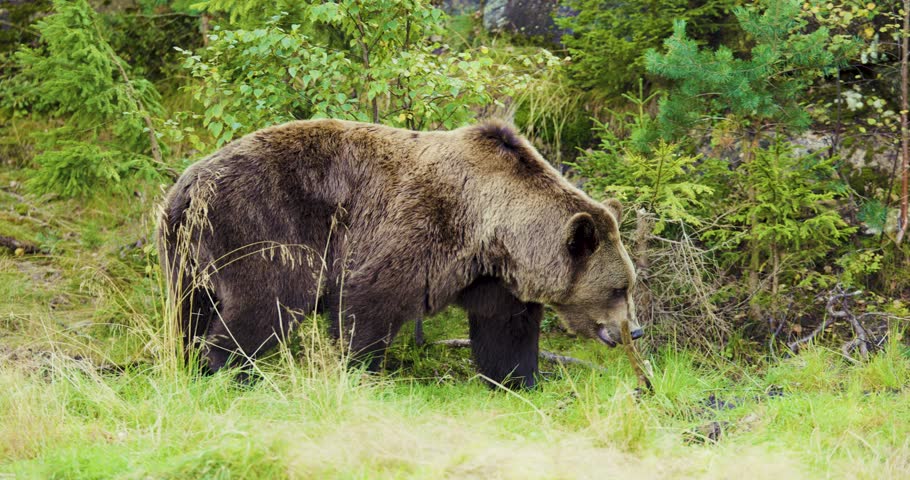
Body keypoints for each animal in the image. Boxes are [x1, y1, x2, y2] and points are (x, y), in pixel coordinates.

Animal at [157, 119, 641, 388]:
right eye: (619, 288)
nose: (633, 330)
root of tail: (188, 184)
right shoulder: (415, 230)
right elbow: (366, 306)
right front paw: (361, 371)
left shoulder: (493, 280)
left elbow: (506, 331)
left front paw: (518, 380)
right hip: (260, 224)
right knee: (265, 304)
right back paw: (230, 372)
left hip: (186, 252)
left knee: (190, 311)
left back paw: (192, 362)